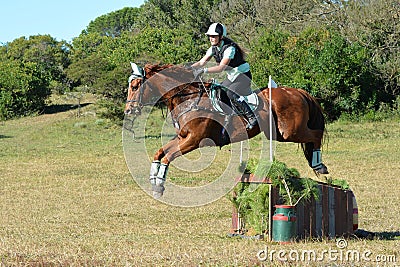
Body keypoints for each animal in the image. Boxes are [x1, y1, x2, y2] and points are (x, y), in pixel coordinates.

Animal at [125, 63, 328, 199]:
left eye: (135, 86)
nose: (128, 110)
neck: (188, 98)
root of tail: (299, 92)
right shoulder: (182, 137)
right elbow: (159, 153)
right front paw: (153, 180)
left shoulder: (194, 140)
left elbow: (168, 156)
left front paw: (159, 185)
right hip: (279, 134)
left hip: (289, 133)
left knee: (316, 135)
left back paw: (319, 165)